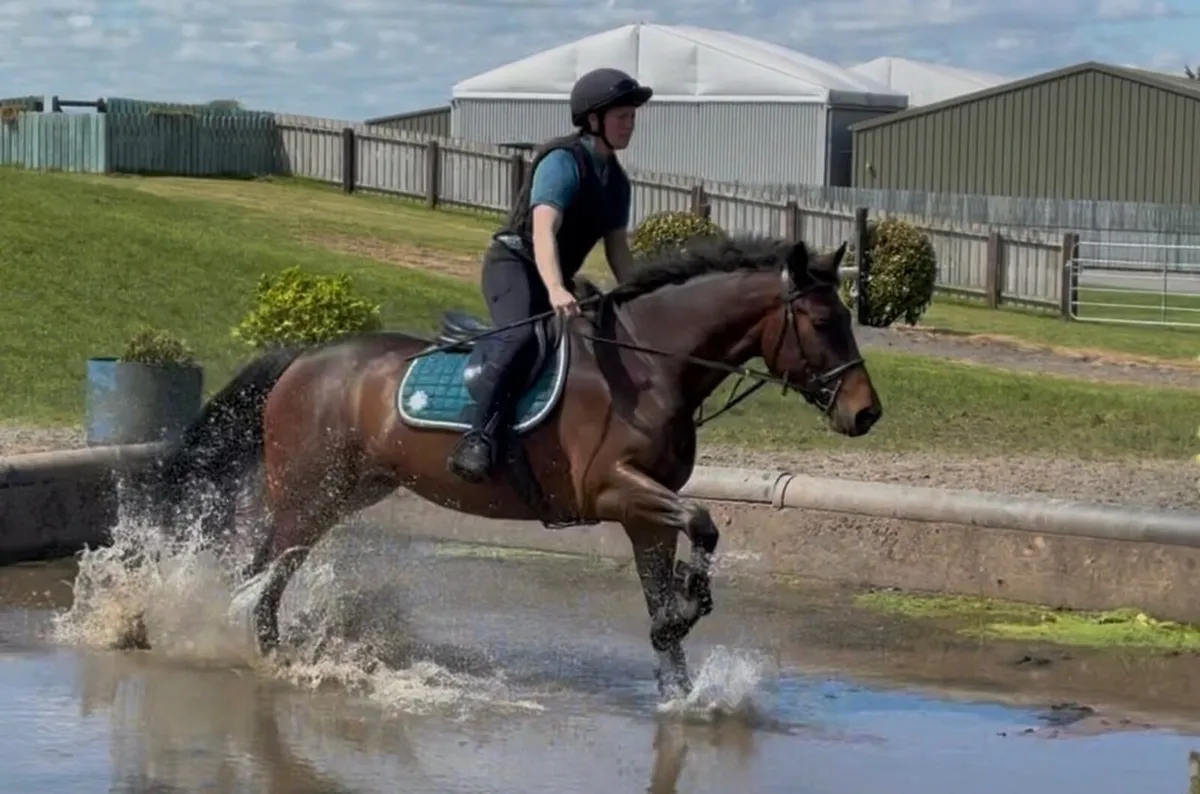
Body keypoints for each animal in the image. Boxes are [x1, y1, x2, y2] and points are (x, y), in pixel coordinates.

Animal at [151, 233, 882, 700]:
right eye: (822, 322)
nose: (866, 414)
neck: (650, 365)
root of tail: (304, 356)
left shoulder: (645, 513)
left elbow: (672, 572)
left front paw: (679, 684)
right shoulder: (614, 491)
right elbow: (703, 523)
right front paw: (680, 615)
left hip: (348, 493)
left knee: (265, 570)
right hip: (308, 494)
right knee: (263, 571)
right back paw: (252, 651)